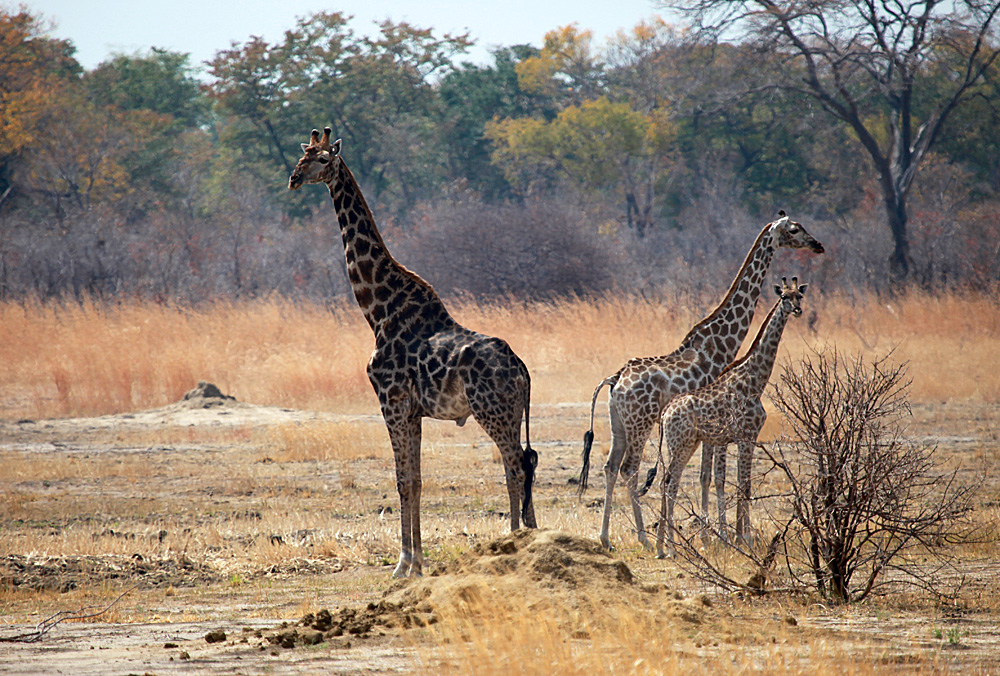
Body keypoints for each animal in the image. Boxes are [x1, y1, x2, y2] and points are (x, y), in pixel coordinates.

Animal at [290, 129, 540, 580]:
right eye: (302, 155)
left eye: (321, 159)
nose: (293, 179)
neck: (377, 311)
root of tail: (523, 371)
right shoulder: (413, 411)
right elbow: (418, 480)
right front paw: (417, 562)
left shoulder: (390, 401)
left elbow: (402, 480)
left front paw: (403, 564)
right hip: (510, 414)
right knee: (525, 461)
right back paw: (530, 536)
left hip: (491, 411)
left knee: (515, 464)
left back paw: (514, 541)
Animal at [656, 278, 812, 556]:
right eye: (784, 296)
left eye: (799, 296)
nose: (796, 310)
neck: (755, 381)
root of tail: (665, 414)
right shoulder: (745, 436)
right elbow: (744, 485)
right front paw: (745, 538)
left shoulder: (742, 437)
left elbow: (740, 483)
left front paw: (738, 537)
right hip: (682, 444)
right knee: (670, 484)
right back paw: (671, 547)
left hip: (683, 444)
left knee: (667, 482)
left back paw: (662, 546)